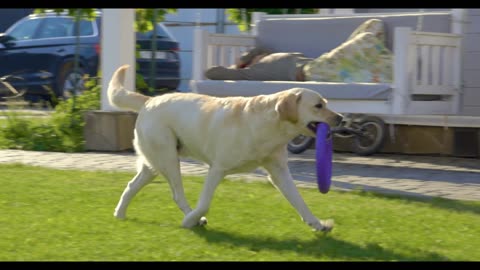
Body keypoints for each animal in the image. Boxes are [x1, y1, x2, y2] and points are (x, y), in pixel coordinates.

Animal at [109, 64, 342, 231]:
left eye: (326, 103)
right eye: (318, 106)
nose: (340, 118)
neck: (268, 126)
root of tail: (149, 100)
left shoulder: (279, 172)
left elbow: (299, 201)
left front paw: (317, 223)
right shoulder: (217, 169)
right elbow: (204, 203)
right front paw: (191, 221)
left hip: (153, 165)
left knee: (131, 185)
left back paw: (119, 215)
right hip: (168, 160)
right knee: (177, 194)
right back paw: (191, 218)